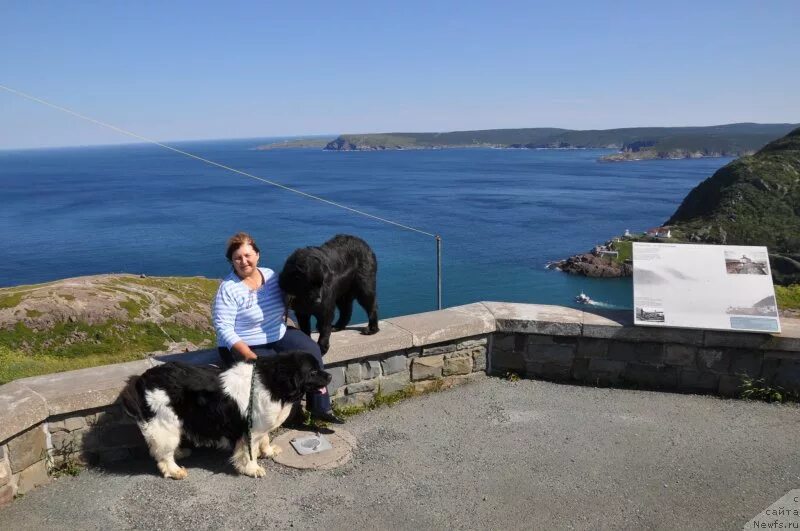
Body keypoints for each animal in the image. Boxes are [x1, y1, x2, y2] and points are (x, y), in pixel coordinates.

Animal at [122, 352, 328, 480]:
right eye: (313, 371)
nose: (330, 377)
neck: (273, 382)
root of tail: (143, 378)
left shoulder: (260, 425)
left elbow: (265, 439)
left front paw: (268, 451)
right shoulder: (250, 429)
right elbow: (249, 451)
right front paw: (252, 468)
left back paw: (180, 453)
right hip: (164, 423)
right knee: (163, 455)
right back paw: (175, 470)